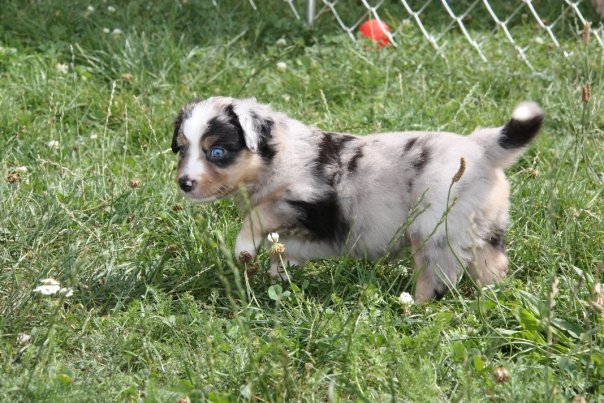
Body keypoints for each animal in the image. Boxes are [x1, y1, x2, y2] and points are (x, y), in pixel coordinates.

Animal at [170, 96, 544, 302]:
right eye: (182, 148)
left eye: (217, 152)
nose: (184, 184)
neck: (275, 154)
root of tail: (482, 148)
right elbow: (282, 249)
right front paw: (279, 276)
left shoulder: (307, 201)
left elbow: (259, 214)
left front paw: (244, 248)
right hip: (484, 227)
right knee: (493, 264)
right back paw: (491, 297)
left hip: (435, 230)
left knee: (438, 275)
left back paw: (414, 306)